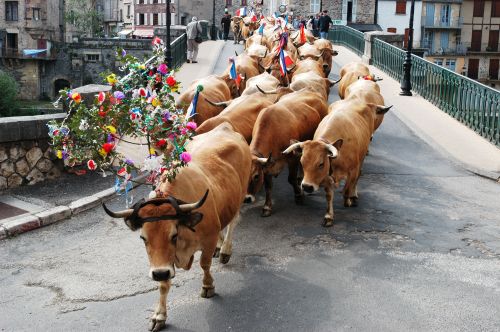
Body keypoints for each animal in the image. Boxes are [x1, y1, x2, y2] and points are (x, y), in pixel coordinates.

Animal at [102, 122, 250, 332]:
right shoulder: (162, 262)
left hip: (240, 194)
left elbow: (204, 264)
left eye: (173, 235)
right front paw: (159, 315)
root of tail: (224, 126)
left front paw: (208, 286)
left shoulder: (208, 238)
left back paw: (225, 250)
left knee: (232, 222)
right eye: (143, 238)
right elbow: (164, 284)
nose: (158, 272)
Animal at [245, 88, 328, 217]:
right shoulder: (267, 165)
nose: (246, 199)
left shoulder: (292, 159)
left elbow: (291, 179)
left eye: (256, 176)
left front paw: (299, 196)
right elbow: (268, 186)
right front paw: (267, 207)